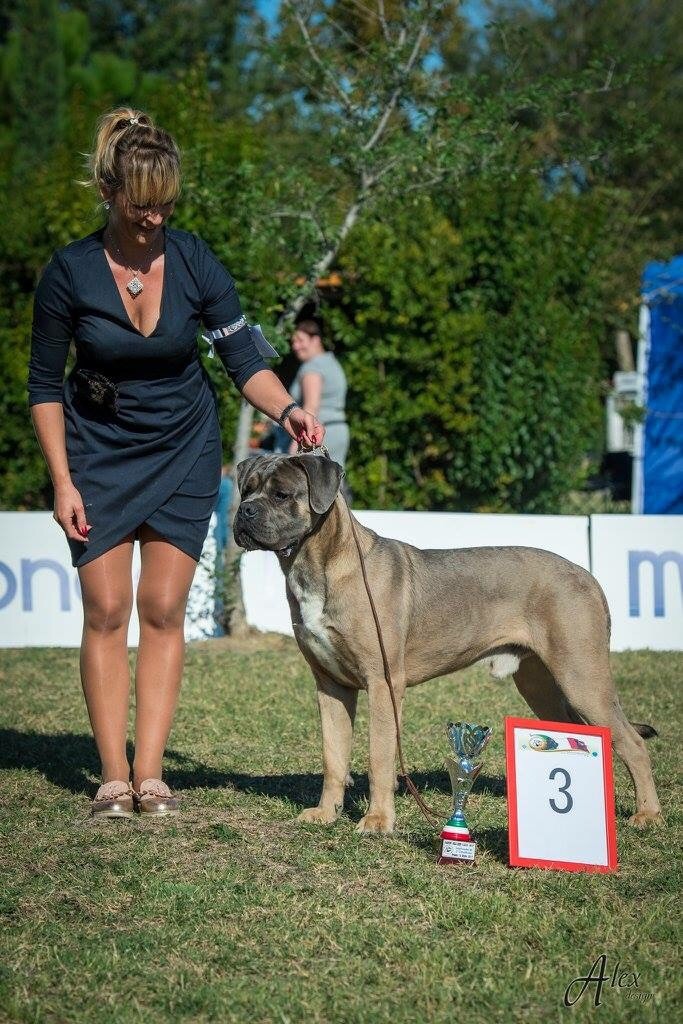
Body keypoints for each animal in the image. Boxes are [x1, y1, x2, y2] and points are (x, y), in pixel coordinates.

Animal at [233, 454, 663, 831]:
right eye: (246, 489)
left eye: (282, 494)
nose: (244, 512)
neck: (320, 562)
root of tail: (587, 576)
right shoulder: (331, 685)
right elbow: (333, 756)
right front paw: (326, 814)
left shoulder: (382, 683)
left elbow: (379, 756)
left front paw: (378, 821)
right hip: (540, 683)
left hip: (582, 676)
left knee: (632, 743)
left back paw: (647, 815)